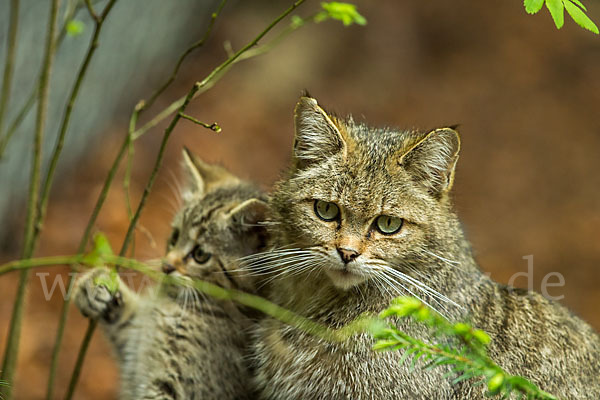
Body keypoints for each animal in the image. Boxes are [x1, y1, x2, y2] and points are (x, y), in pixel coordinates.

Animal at [73, 150, 268, 400]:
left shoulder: (180, 385)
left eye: (200, 255)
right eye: (175, 236)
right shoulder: (136, 347)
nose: (166, 266)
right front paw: (96, 289)